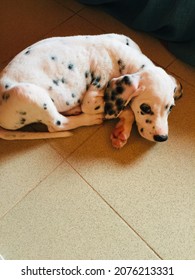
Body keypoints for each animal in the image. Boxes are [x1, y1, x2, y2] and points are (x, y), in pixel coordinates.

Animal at [0, 33, 183, 148]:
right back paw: (89, 118)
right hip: (29, 94)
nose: (162, 138)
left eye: (171, 108)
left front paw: (121, 131)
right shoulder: (92, 100)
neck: (124, 57)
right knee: (57, 124)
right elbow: (127, 108)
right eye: (145, 108)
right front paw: (121, 128)